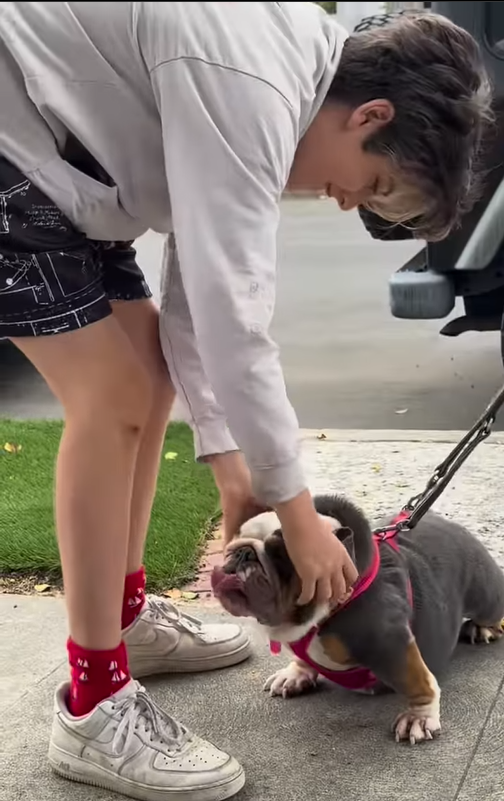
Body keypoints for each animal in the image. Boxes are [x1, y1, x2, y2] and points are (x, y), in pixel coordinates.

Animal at [211, 494, 504, 744]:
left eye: (281, 557)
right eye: (237, 537)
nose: (243, 553)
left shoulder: (388, 642)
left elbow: (417, 681)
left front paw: (418, 717)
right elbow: (303, 659)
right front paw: (295, 675)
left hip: (486, 593)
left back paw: (483, 628)